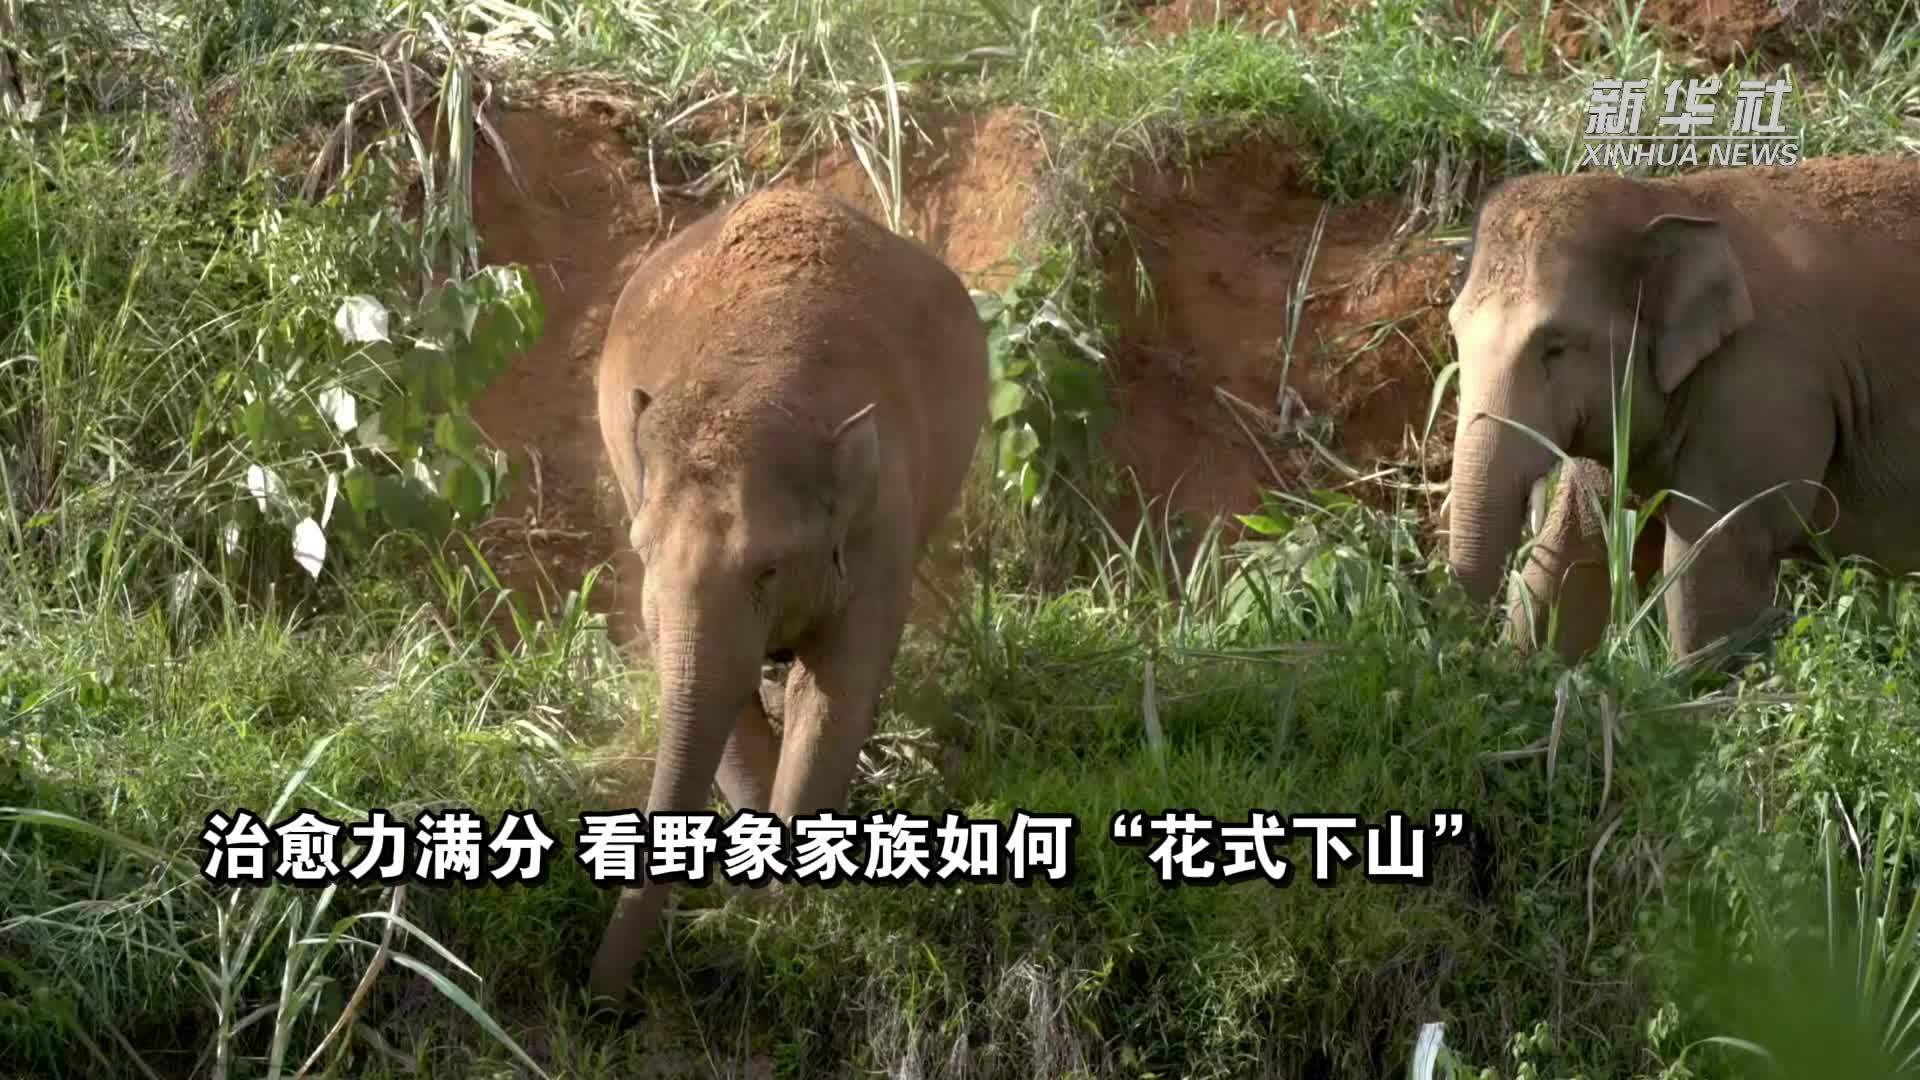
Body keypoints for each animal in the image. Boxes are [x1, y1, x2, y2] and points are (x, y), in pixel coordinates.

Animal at [586, 188, 989, 999]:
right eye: (641, 552)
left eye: (767, 569)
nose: (598, 1001)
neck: (756, 382)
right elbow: (727, 707)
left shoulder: (882, 525)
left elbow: (830, 697)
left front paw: (786, 927)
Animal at [1444, 153, 1920, 662]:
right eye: (1455, 332)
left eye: (1555, 347)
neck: (1668, 198)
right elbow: (1573, 550)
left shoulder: (1766, 385)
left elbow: (1713, 558)